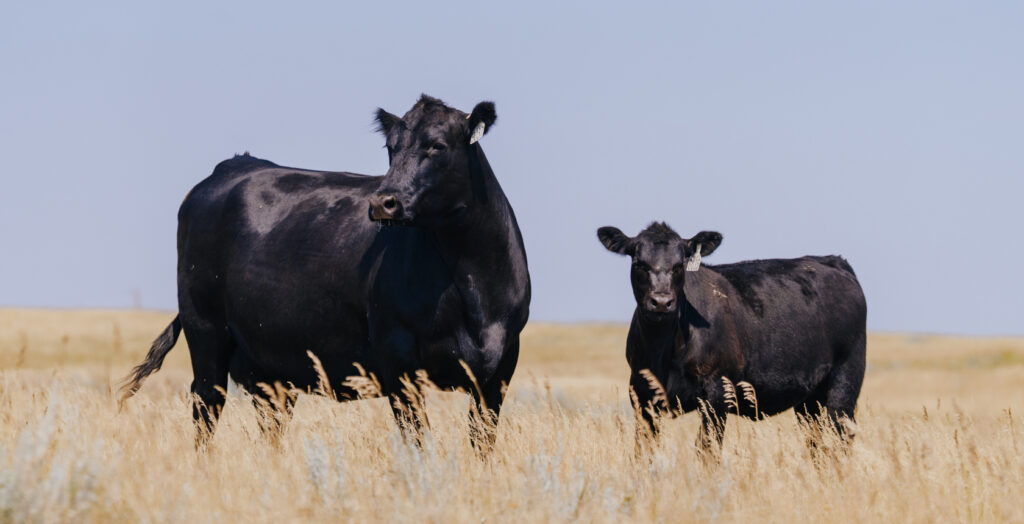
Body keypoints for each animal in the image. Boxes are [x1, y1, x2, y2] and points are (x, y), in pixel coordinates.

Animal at [121, 95, 531, 451]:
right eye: (391, 148)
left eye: (438, 146)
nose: (383, 202)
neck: (471, 286)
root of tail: (235, 165)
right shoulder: (399, 362)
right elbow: (417, 443)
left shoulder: (499, 370)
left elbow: (482, 444)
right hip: (206, 329)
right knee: (206, 406)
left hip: (269, 367)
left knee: (270, 422)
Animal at [597, 222, 866, 455]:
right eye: (639, 263)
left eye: (679, 265)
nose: (662, 301)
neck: (664, 350)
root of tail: (832, 261)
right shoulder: (641, 395)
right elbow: (643, 451)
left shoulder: (717, 391)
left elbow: (707, 450)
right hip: (809, 399)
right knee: (816, 442)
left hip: (845, 379)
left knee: (841, 436)